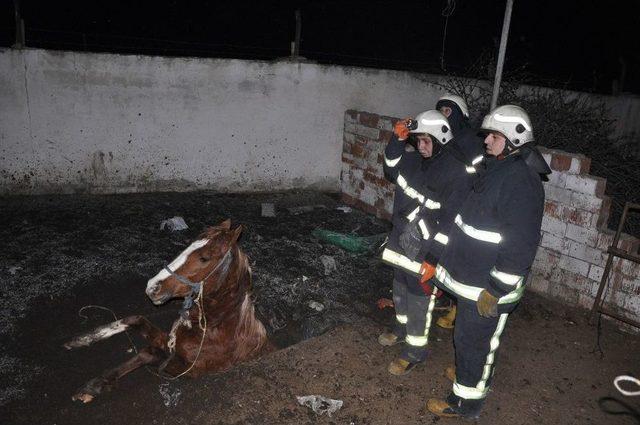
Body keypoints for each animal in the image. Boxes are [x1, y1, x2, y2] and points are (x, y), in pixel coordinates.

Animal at [63, 219, 268, 400]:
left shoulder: (186, 368)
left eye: (204, 258)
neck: (216, 329)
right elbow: (135, 319)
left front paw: (95, 385)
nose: (152, 287)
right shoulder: (169, 340)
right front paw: (81, 339)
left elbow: (148, 353)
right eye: (188, 245)